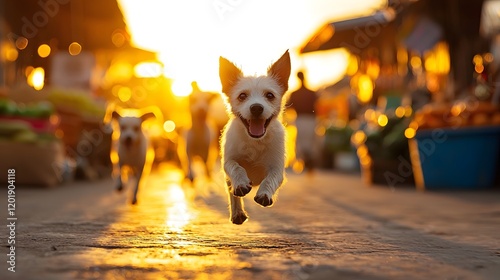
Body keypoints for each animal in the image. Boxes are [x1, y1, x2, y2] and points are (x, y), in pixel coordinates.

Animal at [218, 50, 290, 225]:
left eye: (270, 95)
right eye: (242, 96)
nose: (256, 107)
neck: (254, 141)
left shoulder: (277, 169)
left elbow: (271, 178)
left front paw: (264, 193)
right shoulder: (228, 162)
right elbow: (236, 168)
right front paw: (241, 183)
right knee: (231, 191)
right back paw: (237, 212)